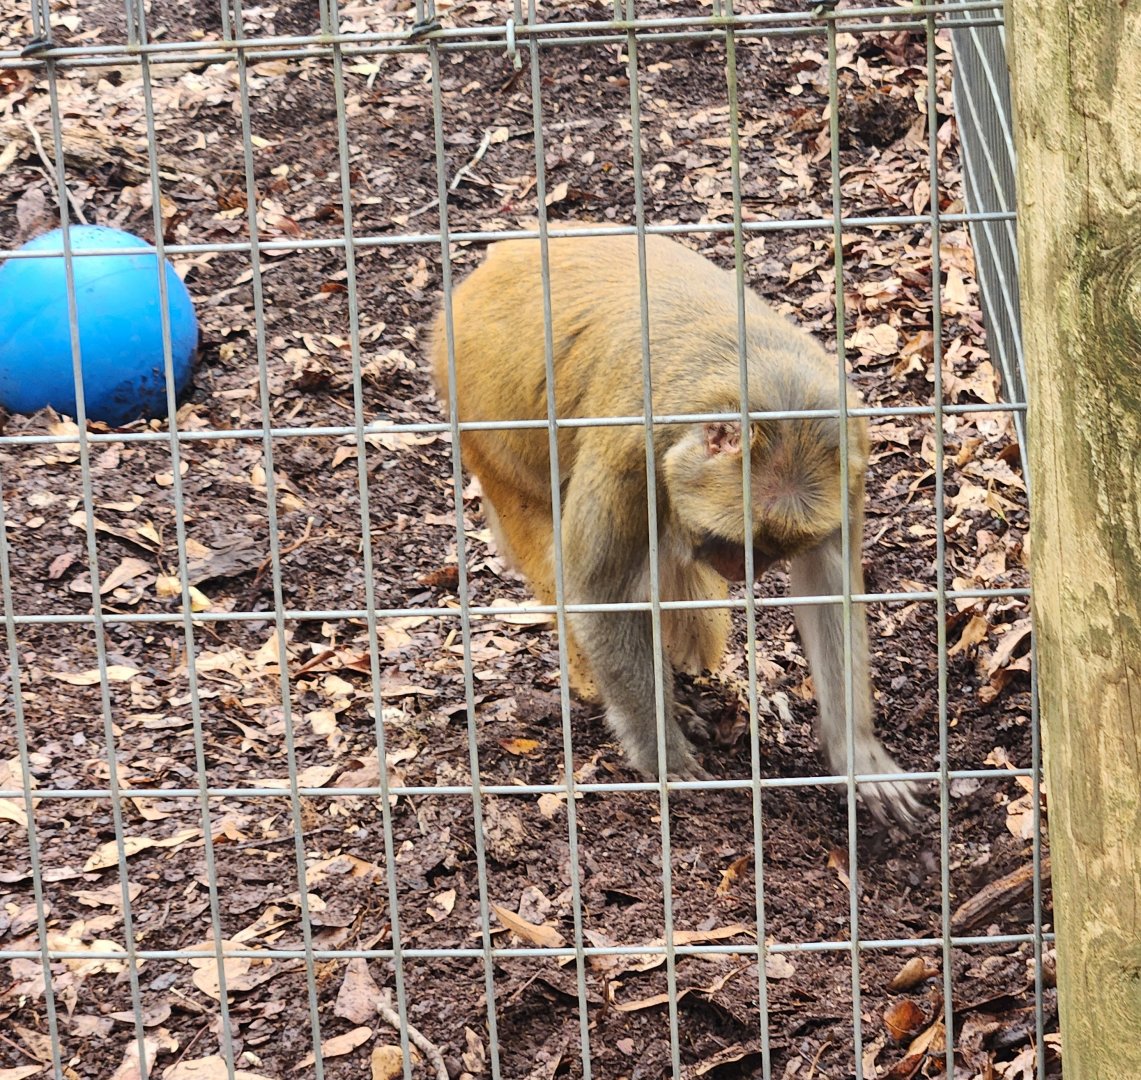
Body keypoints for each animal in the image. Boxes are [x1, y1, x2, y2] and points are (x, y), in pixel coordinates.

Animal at [429, 230, 925, 829]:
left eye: (768, 553)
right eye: (732, 543)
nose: (737, 570)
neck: (764, 386)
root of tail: (488, 270)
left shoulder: (848, 454)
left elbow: (829, 586)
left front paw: (856, 752)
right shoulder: (631, 449)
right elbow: (599, 593)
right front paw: (660, 751)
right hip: (483, 412)